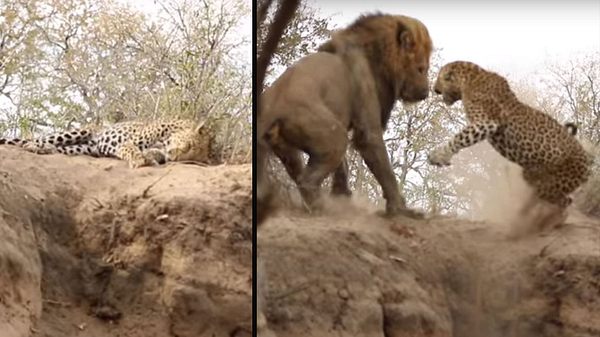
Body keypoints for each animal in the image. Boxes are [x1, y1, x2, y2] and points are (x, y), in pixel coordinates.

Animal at [256, 13, 432, 217]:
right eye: (421, 68)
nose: (425, 92)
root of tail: (272, 108)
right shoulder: (365, 98)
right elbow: (379, 157)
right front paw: (400, 209)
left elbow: (343, 166)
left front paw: (342, 195)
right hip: (333, 135)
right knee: (307, 180)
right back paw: (321, 208)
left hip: (285, 145)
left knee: (298, 172)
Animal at [428, 59, 592, 228]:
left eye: (440, 77)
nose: (435, 90)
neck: (469, 79)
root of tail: (587, 161)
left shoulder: (486, 122)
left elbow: (459, 137)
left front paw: (438, 156)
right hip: (532, 176)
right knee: (558, 199)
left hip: (553, 185)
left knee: (564, 201)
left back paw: (546, 219)